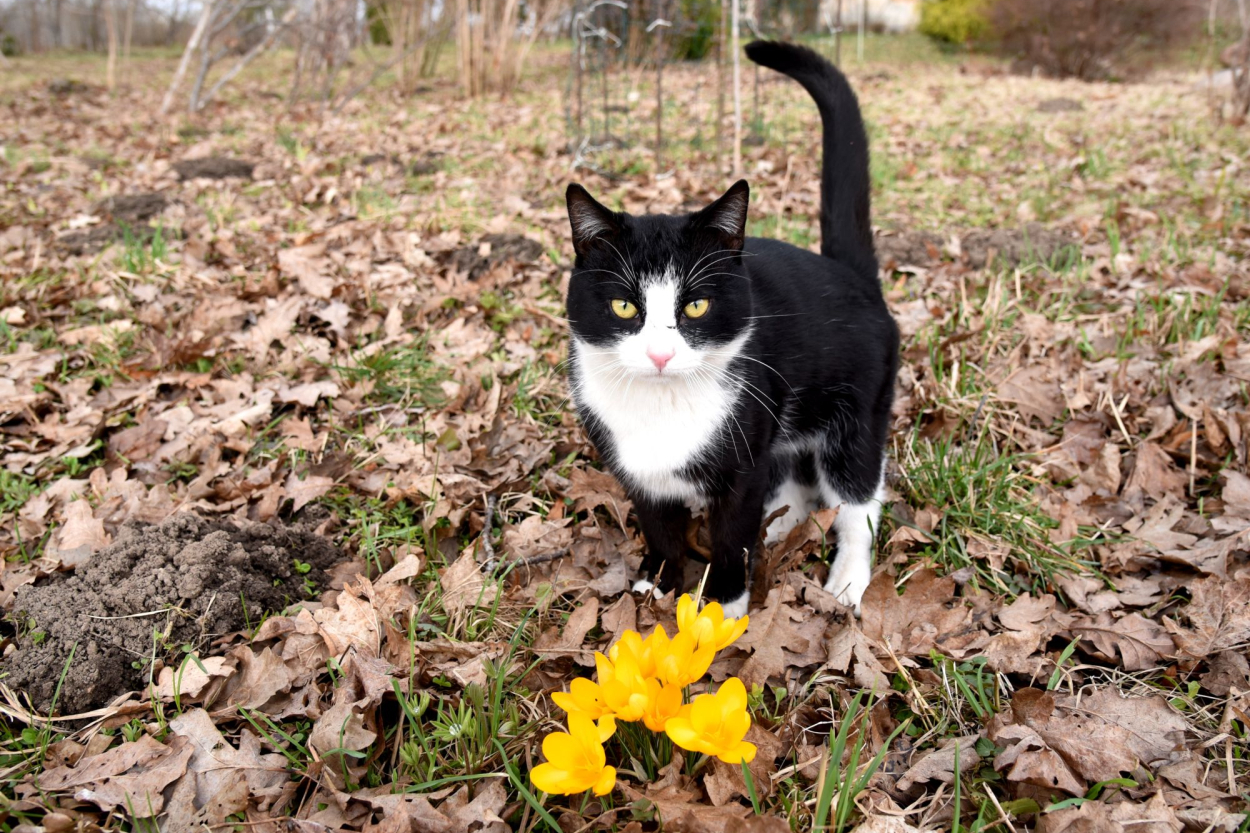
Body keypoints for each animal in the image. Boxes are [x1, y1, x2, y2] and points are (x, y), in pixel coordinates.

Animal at [567, 40, 900, 615]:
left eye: (697, 306)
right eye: (625, 307)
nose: (659, 355)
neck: (661, 410)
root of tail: (851, 273)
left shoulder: (743, 459)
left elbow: (730, 536)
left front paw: (720, 608)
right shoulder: (638, 469)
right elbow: (659, 526)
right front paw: (655, 583)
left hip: (858, 410)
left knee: (857, 497)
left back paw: (847, 581)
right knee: (794, 476)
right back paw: (780, 528)